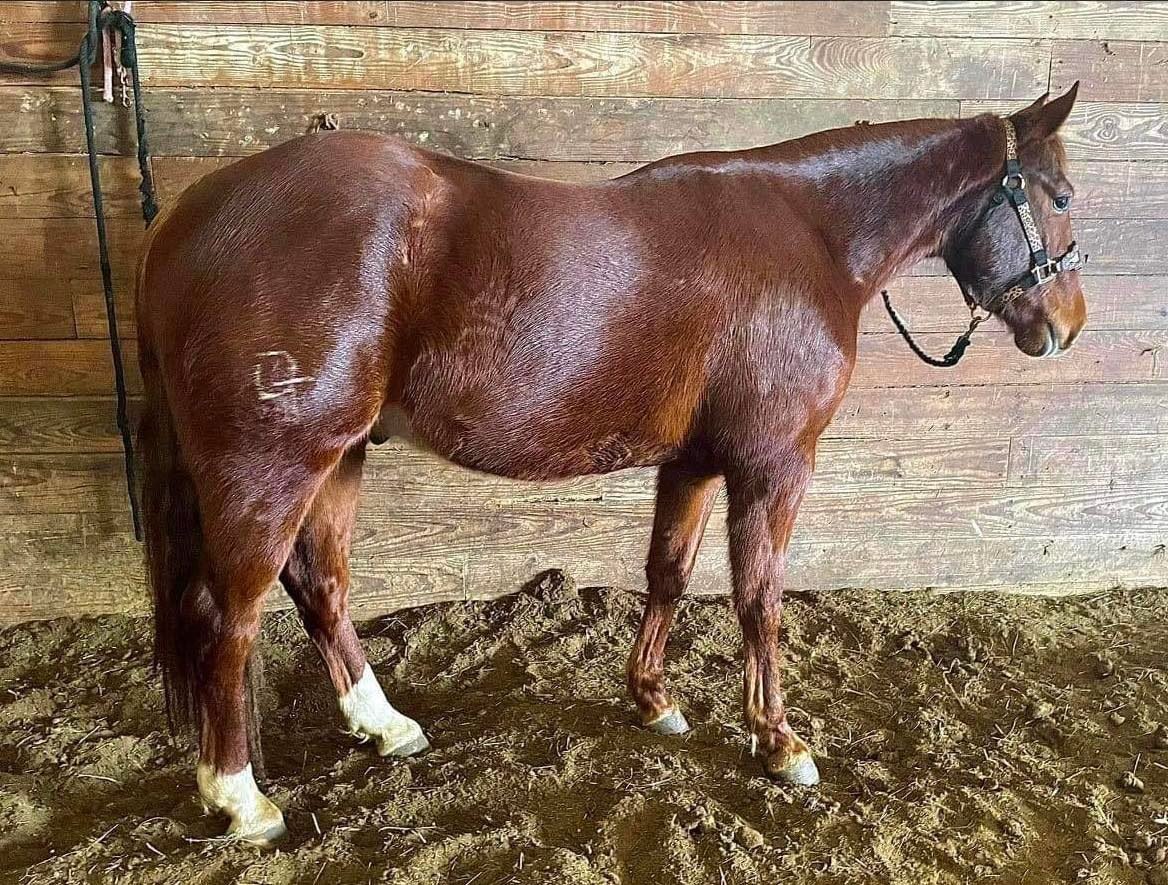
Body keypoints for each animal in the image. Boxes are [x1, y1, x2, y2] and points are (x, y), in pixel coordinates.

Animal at [136, 85, 1086, 844]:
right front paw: (779, 742)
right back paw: (240, 797)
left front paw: (654, 700)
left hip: (339, 457)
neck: (810, 234)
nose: (1068, 324)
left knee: (321, 587)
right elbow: (760, 599)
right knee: (231, 617)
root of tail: (188, 217)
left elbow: (669, 571)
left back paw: (385, 725)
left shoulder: (694, 462)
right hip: (274, 466)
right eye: (1063, 194)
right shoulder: (774, 463)